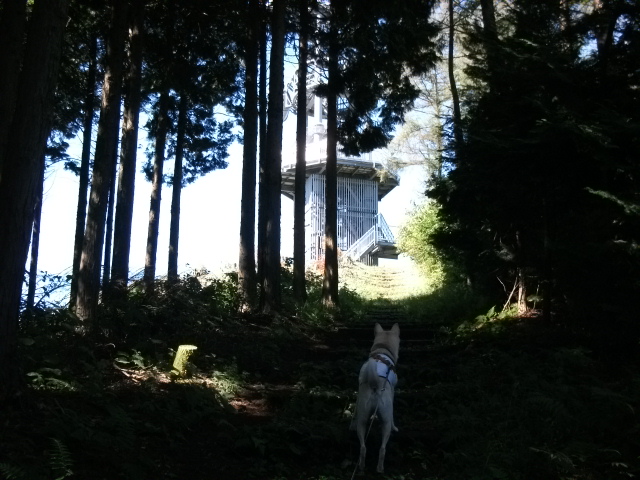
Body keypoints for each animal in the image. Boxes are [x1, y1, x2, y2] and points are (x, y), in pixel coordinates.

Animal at [350, 323, 400, 473]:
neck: (383, 349)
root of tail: (375, 384)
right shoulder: (392, 392)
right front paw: (396, 427)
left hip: (363, 419)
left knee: (363, 448)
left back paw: (361, 466)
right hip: (385, 423)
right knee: (382, 449)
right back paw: (380, 468)